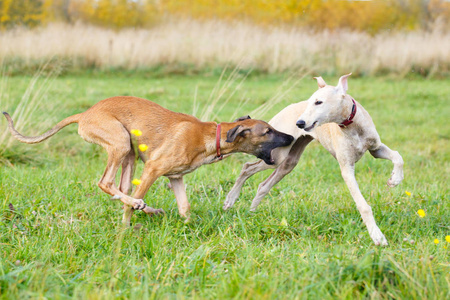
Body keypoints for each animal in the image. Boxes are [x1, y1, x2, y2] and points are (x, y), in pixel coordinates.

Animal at [3, 95, 294, 224]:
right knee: (108, 184)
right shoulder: (153, 169)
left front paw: (188, 228)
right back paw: (139, 206)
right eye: (268, 131)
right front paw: (125, 230)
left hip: (129, 153)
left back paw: (150, 209)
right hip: (120, 142)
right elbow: (130, 206)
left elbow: (185, 207)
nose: (292, 136)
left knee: (120, 188)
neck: (210, 135)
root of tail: (85, 113)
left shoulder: (175, 177)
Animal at [225, 74, 404, 245]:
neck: (352, 125)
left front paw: (395, 179)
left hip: (288, 162)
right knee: (247, 167)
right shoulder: (347, 168)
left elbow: (398, 156)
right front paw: (377, 236)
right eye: (310, 102)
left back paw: (252, 212)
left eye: (319, 102)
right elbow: (363, 205)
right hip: (276, 156)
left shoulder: (376, 148)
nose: (299, 123)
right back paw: (230, 200)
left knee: (263, 185)